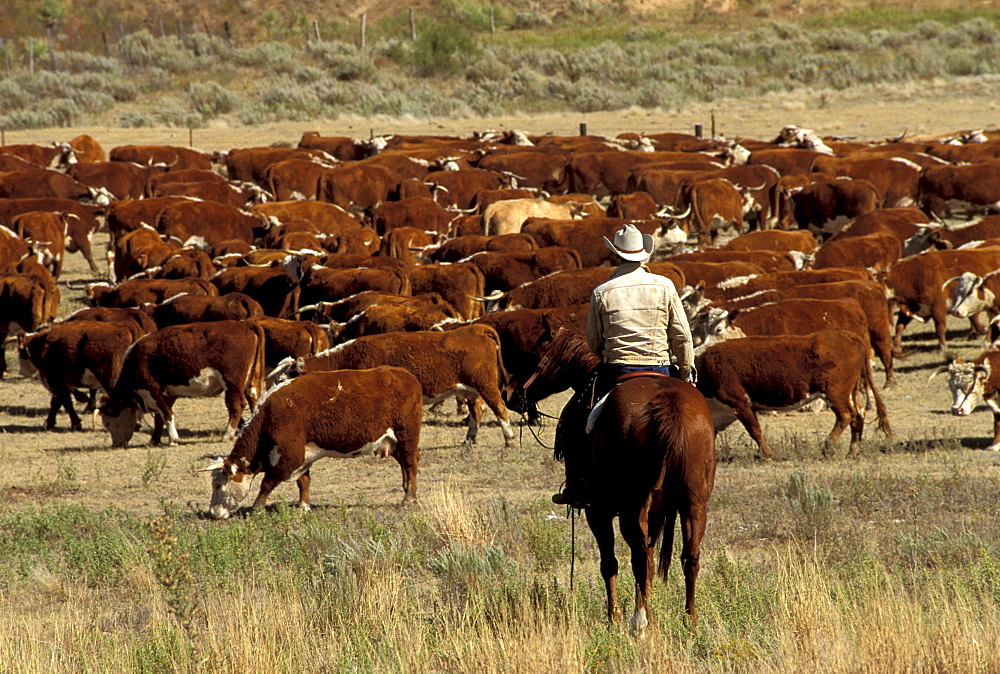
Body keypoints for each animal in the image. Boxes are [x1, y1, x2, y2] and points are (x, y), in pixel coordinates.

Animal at [99, 320, 268, 446]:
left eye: (107, 423)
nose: (116, 444)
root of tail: (244, 324)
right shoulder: (167, 393)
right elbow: (160, 418)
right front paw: (154, 440)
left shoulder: (153, 389)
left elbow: (167, 414)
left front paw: (173, 439)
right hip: (250, 383)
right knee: (255, 402)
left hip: (232, 382)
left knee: (236, 405)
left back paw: (227, 435)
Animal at [199, 364, 422, 516]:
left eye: (217, 485)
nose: (213, 513)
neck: (269, 415)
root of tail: (404, 375)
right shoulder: (303, 455)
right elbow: (303, 481)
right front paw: (303, 506)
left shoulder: (290, 455)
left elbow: (267, 483)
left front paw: (257, 508)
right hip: (395, 443)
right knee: (405, 464)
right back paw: (407, 492)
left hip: (407, 436)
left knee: (411, 464)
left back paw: (409, 499)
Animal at [512, 328, 716, 632]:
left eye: (535, 356)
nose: (512, 395)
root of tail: (669, 406)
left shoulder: (598, 510)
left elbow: (609, 562)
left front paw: (614, 616)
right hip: (693, 503)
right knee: (688, 557)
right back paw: (689, 622)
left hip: (631, 508)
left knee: (639, 559)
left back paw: (639, 622)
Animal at [696, 330, 892, 460]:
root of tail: (846, 335)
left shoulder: (739, 403)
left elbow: (755, 430)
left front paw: (766, 455)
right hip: (849, 392)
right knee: (859, 414)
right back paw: (852, 451)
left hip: (835, 393)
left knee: (846, 415)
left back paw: (828, 447)